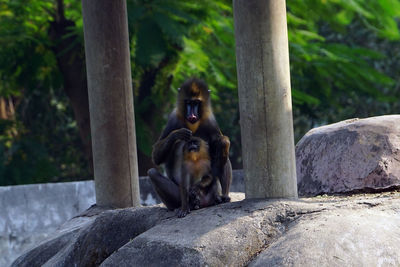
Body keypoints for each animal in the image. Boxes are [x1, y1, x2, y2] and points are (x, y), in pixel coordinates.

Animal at [148, 77, 233, 216]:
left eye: (196, 103)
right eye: (188, 102)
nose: (192, 115)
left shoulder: (210, 121)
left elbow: (218, 144)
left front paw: (224, 142)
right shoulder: (173, 119)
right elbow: (156, 156)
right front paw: (178, 134)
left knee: (223, 155)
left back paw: (222, 197)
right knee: (152, 173)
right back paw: (182, 206)